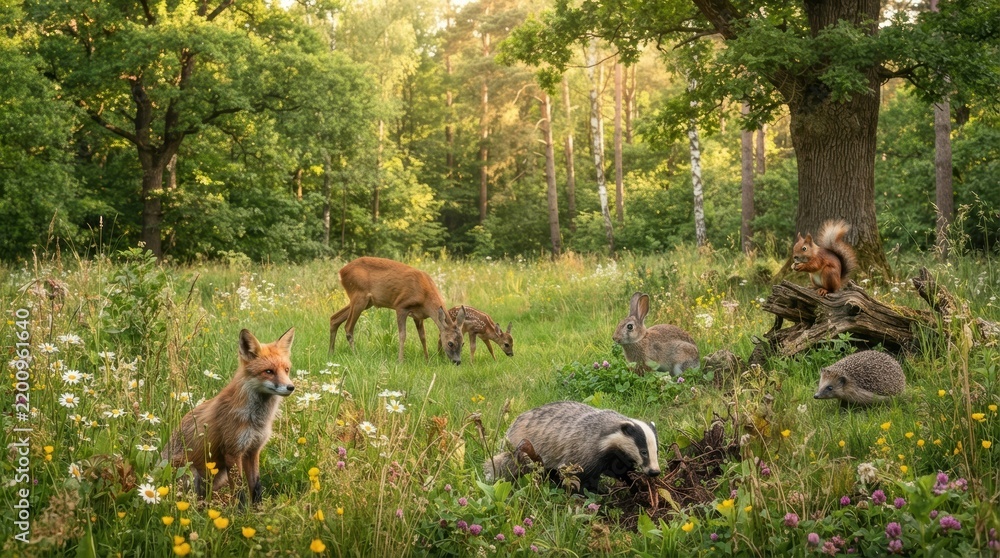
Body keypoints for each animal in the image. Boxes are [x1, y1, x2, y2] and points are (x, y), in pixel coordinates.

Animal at [163, 328, 295, 505]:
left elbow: (256, 487)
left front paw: (258, 509)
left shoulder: (253, 450)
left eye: (286, 370)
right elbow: (239, 491)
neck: (256, 420)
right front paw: (241, 511)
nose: (291, 387)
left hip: (218, 477)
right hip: (190, 473)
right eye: (269, 371)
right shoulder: (233, 452)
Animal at [329, 257, 466, 364]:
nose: (457, 361)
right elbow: (402, 335)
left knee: (334, 318)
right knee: (348, 327)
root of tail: (341, 272)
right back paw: (356, 355)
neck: (425, 296)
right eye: (450, 343)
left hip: (365, 302)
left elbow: (423, 337)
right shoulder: (401, 306)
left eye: (463, 343)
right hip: (359, 296)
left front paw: (427, 360)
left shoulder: (418, 316)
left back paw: (331, 352)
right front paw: (400, 361)